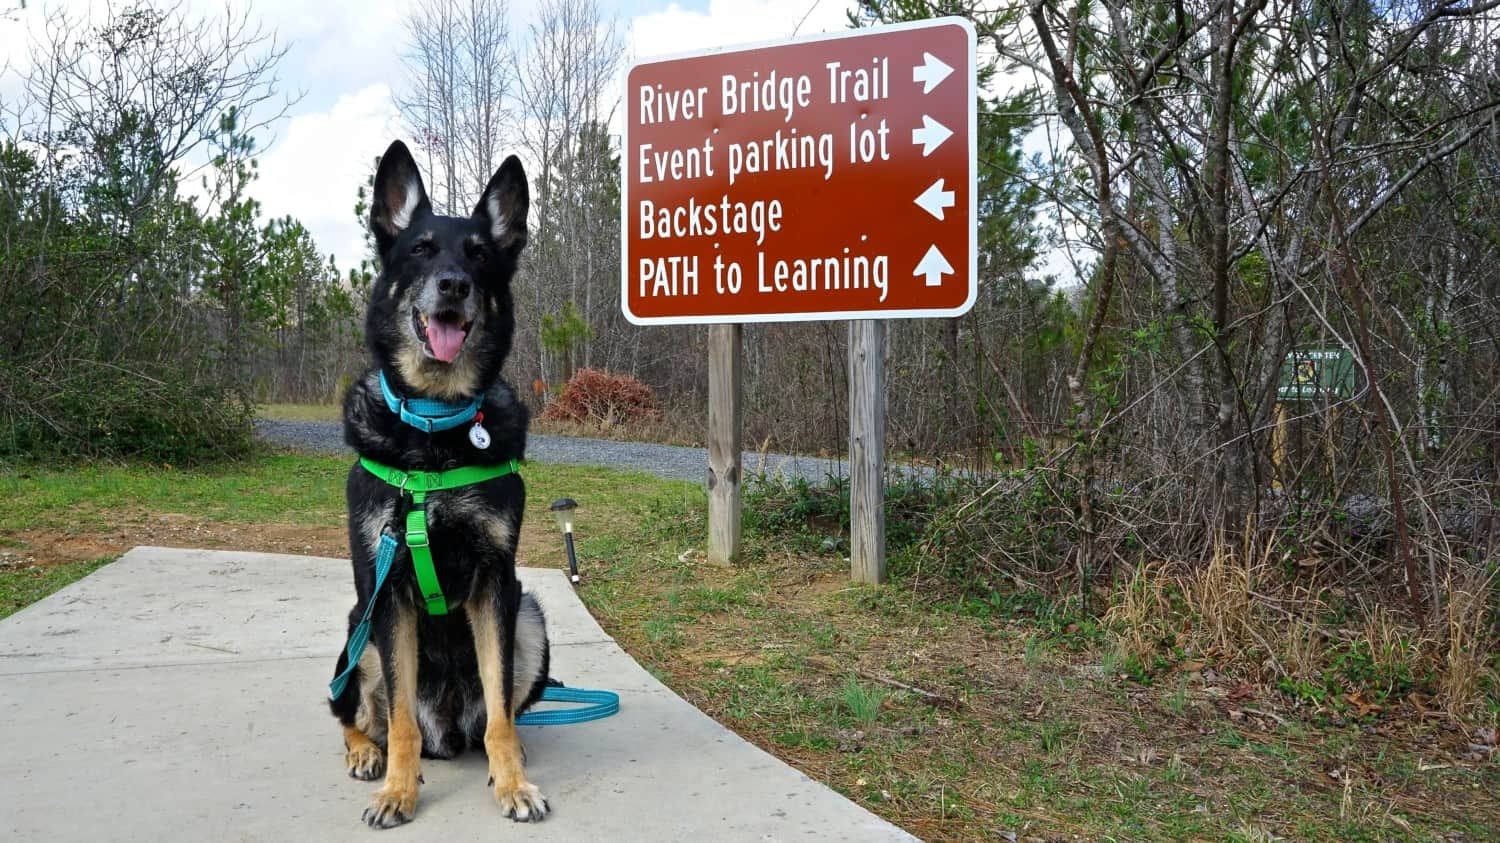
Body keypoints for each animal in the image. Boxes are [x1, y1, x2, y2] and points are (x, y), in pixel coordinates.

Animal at [328, 141, 552, 822]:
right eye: (422, 248)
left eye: (478, 253)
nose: (454, 284)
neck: (435, 429)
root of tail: (446, 731)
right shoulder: (389, 591)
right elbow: (398, 720)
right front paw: (397, 790)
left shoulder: (497, 585)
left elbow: (501, 714)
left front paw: (513, 783)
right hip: (357, 630)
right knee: (354, 712)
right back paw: (365, 754)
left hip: (530, 615)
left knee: (497, 717)